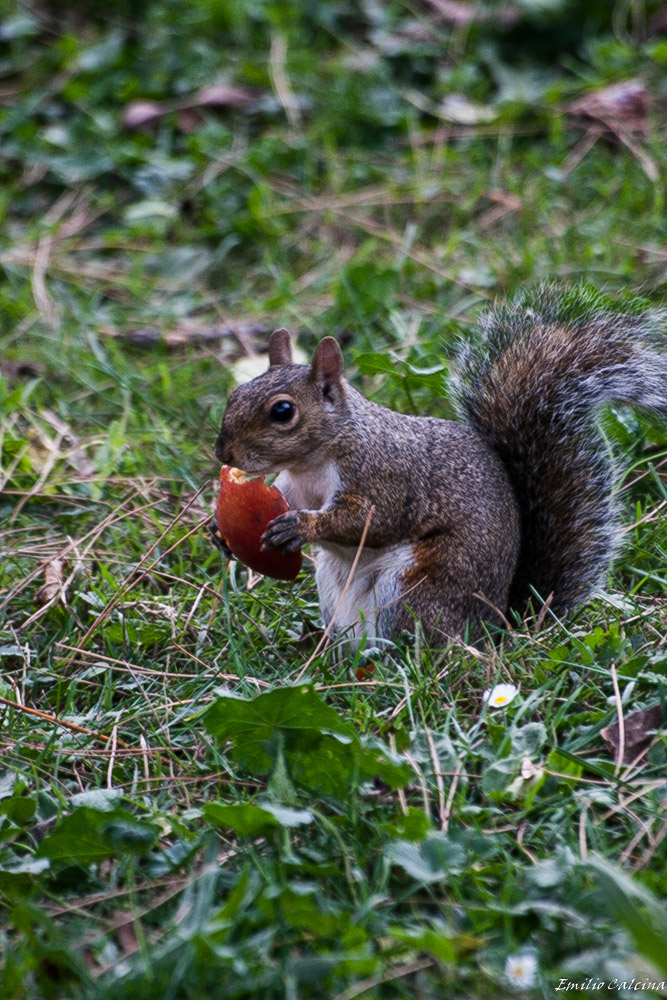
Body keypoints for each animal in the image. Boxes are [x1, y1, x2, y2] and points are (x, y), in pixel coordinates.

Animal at [214, 286, 667, 644]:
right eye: (235, 393)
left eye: (283, 411)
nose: (223, 453)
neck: (313, 462)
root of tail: (496, 626)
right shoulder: (291, 487)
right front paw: (219, 533)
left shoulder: (384, 477)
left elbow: (369, 521)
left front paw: (303, 526)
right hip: (334, 585)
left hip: (417, 587)